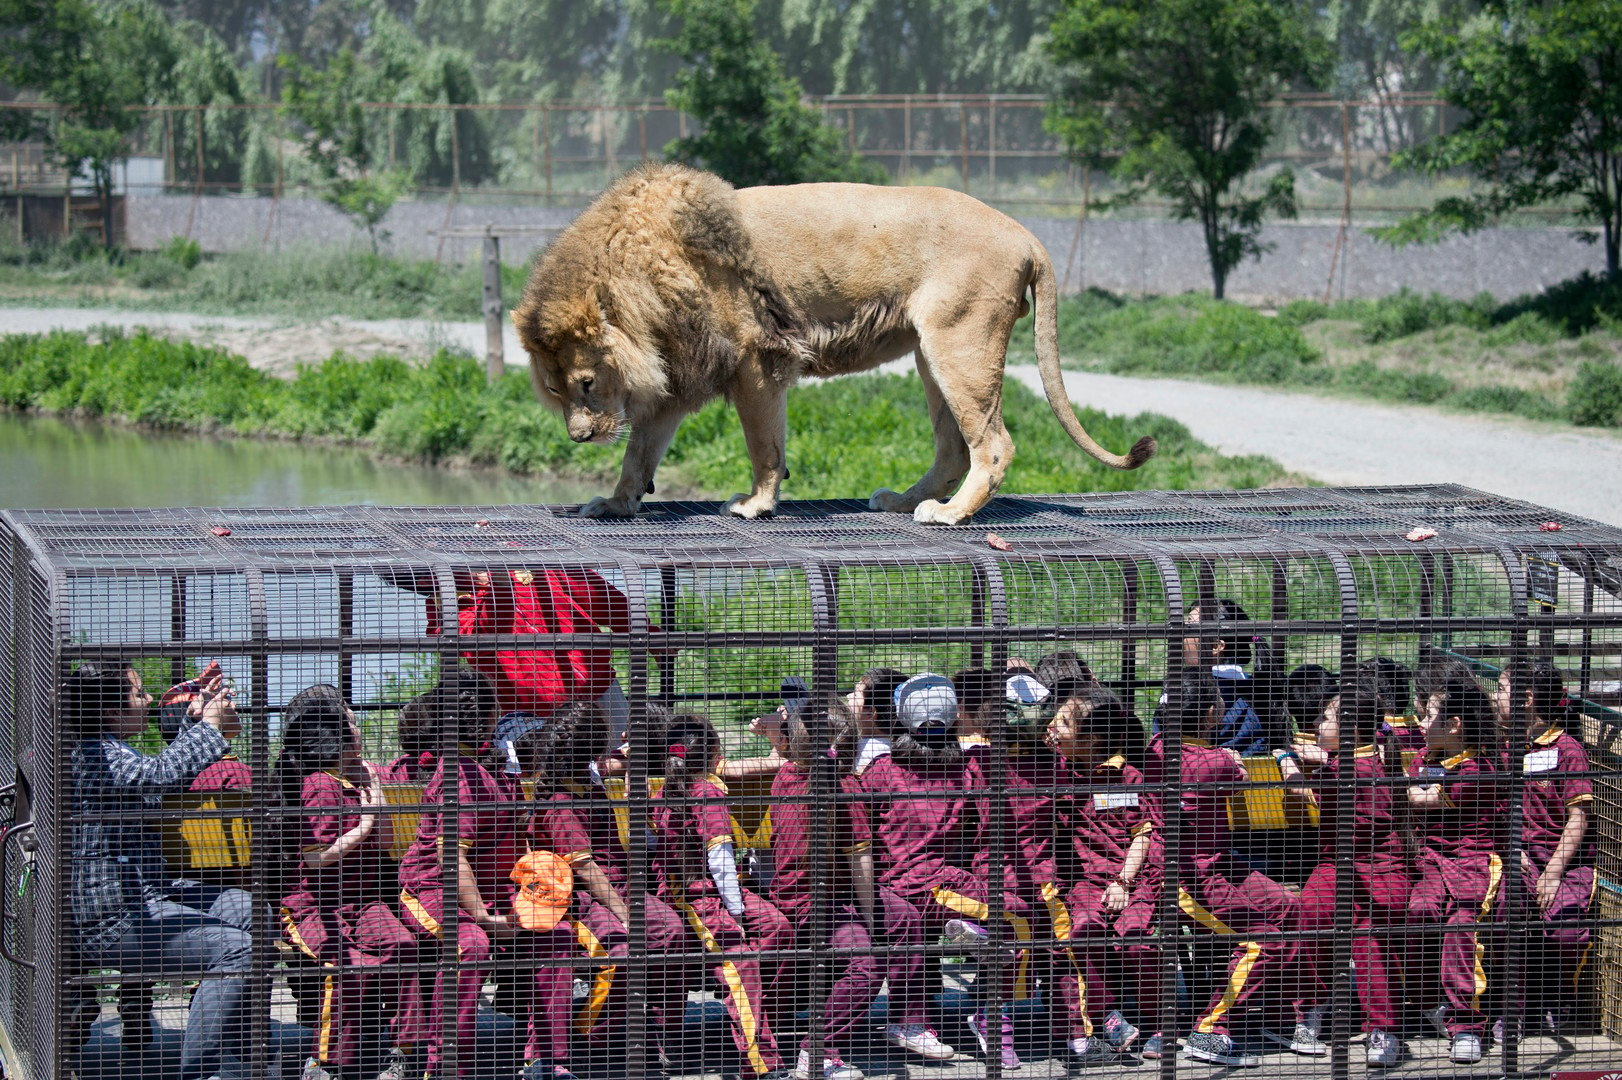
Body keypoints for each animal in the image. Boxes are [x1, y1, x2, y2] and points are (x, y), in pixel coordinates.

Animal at [509, 160, 1154, 525]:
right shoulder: (679, 376)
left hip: (960, 343)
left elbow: (764, 446)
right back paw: (904, 501)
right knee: (952, 449)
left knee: (993, 446)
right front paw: (615, 504)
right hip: (931, 354)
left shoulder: (757, 361)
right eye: (555, 391)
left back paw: (947, 516)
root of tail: (1026, 234)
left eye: (586, 383)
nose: (578, 436)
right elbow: (638, 454)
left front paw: (754, 504)